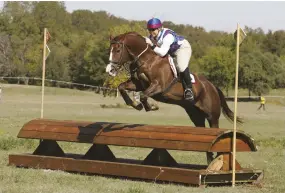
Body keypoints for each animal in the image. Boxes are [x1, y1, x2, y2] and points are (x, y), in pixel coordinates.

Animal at [104, 31, 242, 161]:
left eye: (117, 50)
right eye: (109, 50)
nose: (109, 70)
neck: (146, 59)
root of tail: (212, 86)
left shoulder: (158, 86)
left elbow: (143, 96)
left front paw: (151, 107)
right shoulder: (138, 85)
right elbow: (122, 87)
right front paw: (135, 105)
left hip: (212, 115)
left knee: (215, 129)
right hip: (195, 115)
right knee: (201, 129)